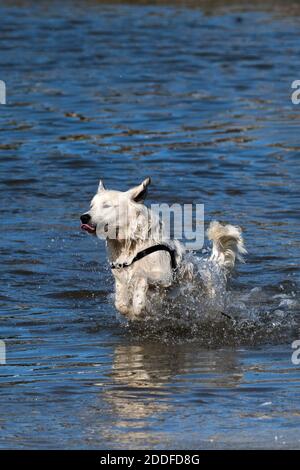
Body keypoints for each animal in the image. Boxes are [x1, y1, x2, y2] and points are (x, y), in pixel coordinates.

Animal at [80, 178, 246, 322]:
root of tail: (211, 265)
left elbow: (141, 278)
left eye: (107, 205)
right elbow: (120, 304)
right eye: (91, 206)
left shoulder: (165, 276)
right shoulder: (120, 277)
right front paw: (130, 311)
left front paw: (138, 305)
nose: (83, 217)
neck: (133, 244)